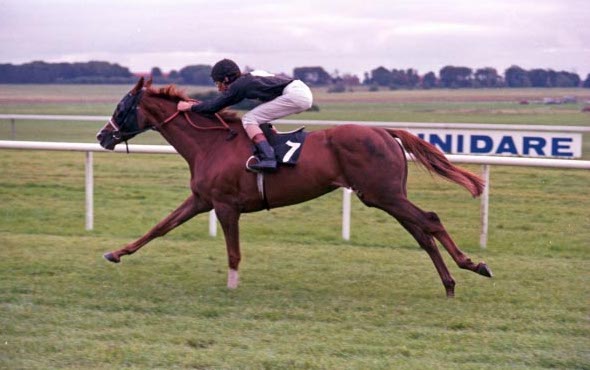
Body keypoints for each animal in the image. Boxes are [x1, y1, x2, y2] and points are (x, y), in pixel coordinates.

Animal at [98, 77, 494, 298]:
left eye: (121, 106)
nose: (102, 136)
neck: (211, 144)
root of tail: (384, 131)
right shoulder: (201, 200)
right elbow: (159, 227)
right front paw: (116, 253)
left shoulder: (226, 206)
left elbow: (233, 252)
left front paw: (231, 287)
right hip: (385, 196)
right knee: (422, 233)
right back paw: (450, 284)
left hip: (384, 194)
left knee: (431, 220)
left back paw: (473, 265)